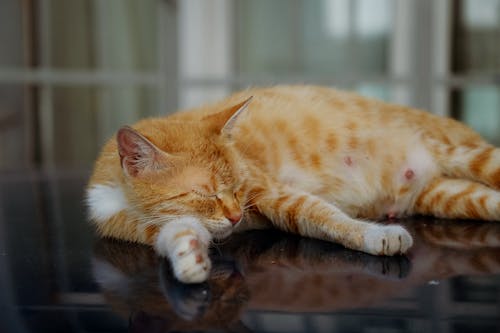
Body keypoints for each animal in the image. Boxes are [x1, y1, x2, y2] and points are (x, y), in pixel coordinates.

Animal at [87, 84, 500, 282]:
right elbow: (181, 234)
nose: (237, 217)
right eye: (205, 192)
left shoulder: (272, 193)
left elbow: (326, 217)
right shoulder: (158, 227)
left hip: (470, 156)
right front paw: (191, 259)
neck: (122, 198)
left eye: (237, 187)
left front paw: (377, 236)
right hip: (451, 195)